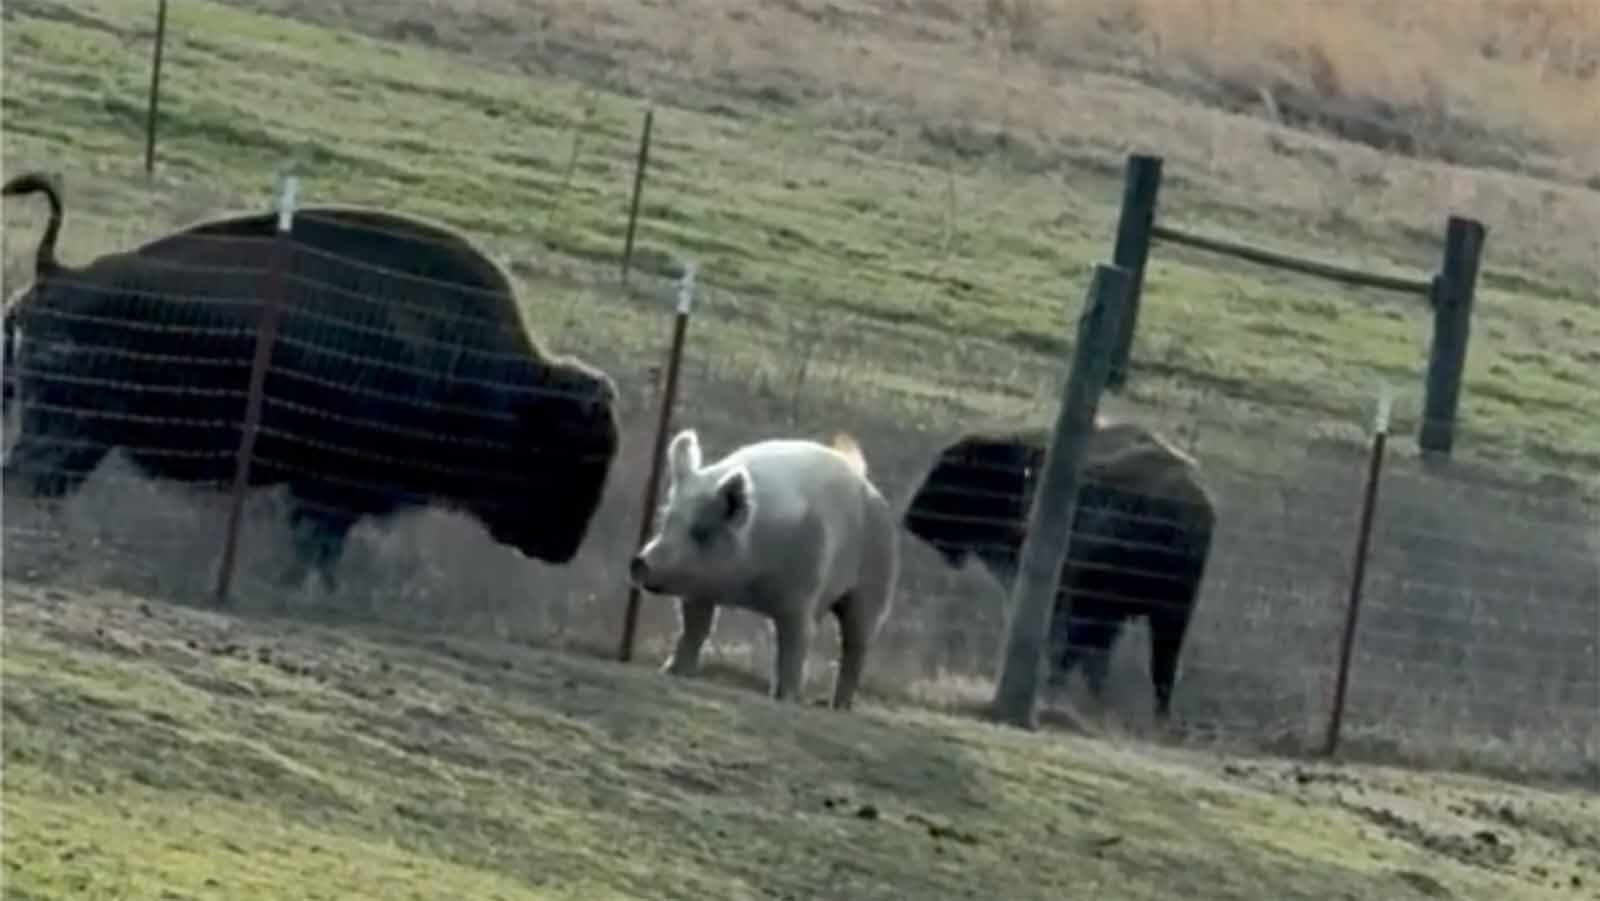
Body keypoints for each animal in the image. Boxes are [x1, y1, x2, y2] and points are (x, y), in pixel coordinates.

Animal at [2, 172, 620, 595]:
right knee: (28, 479)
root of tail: (57, 271)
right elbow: (317, 548)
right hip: (70, 434)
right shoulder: (328, 495)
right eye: (574, 451)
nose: (563, 547)